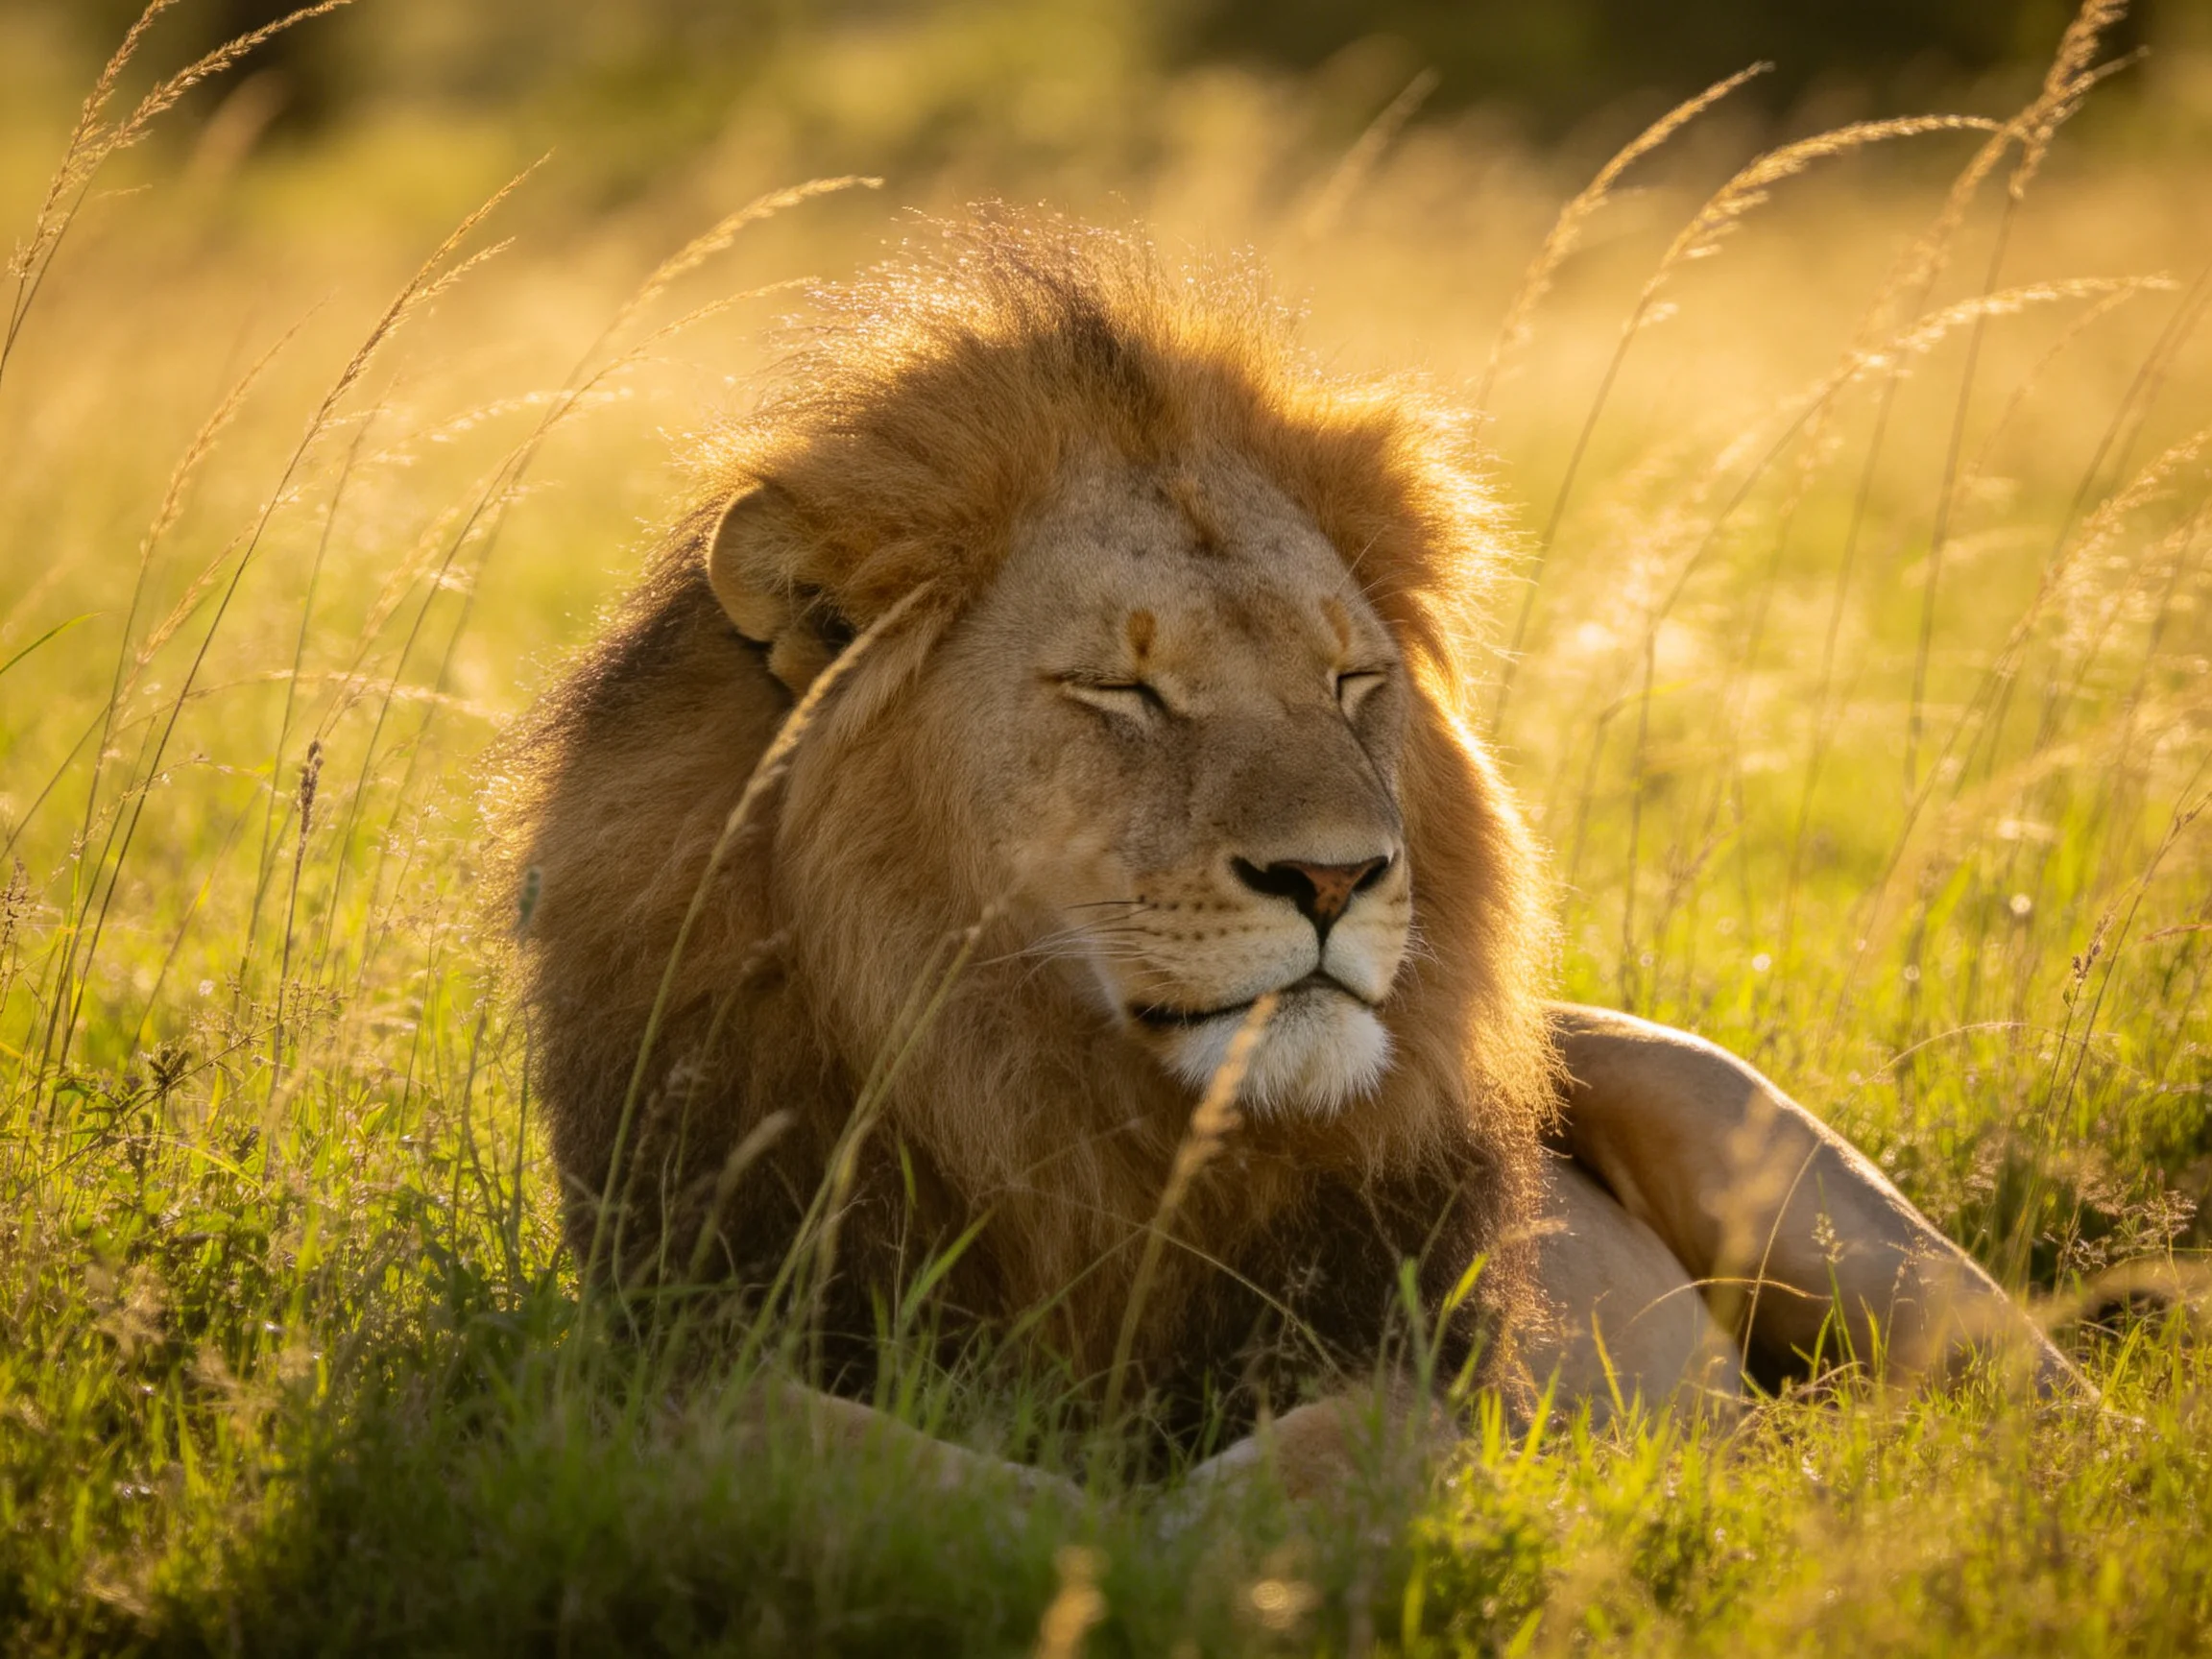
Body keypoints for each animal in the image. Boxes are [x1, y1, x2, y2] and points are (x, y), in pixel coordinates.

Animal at [507, 214, 2078, 1497]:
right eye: (1123, 690)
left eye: (1349, 682)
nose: (1336, 878)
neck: (1062, 1109)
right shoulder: (687, 1325)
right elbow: (793, 1434)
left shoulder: (1421, 1355)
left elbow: (1335, 1445)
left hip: (1789, 1174)